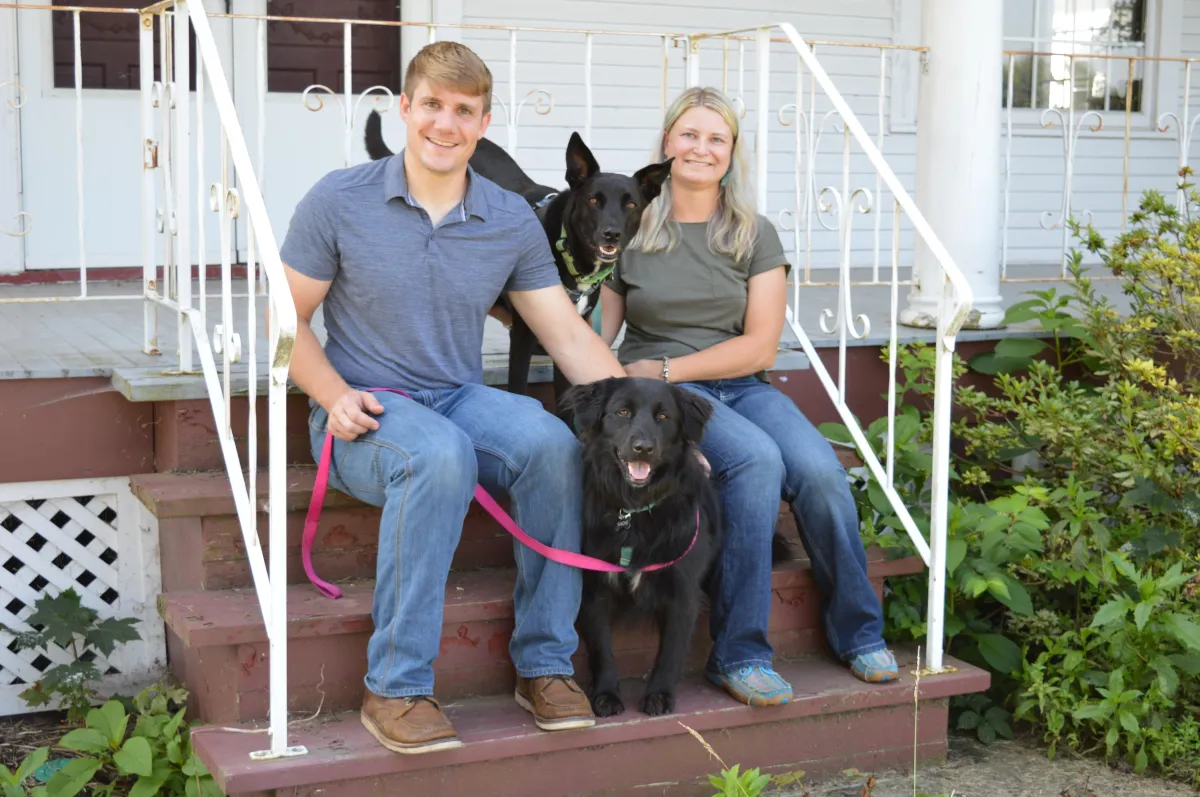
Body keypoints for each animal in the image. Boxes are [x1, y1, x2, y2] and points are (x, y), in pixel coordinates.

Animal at [360, 109, 672, 400]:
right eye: (594, 200)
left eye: (631, 205)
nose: (612, 234)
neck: (570, 256)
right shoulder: (521, 336)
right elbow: (519, 387)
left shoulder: (568, 332)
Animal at [556, 376, 715, 720]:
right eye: (623, 412)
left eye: (664, 417)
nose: (643, 448)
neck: (634, 509)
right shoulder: (595, 588)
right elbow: (601, 648)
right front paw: (605, 694)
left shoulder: (683, 593)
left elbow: (670, 650)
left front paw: (659, 694)